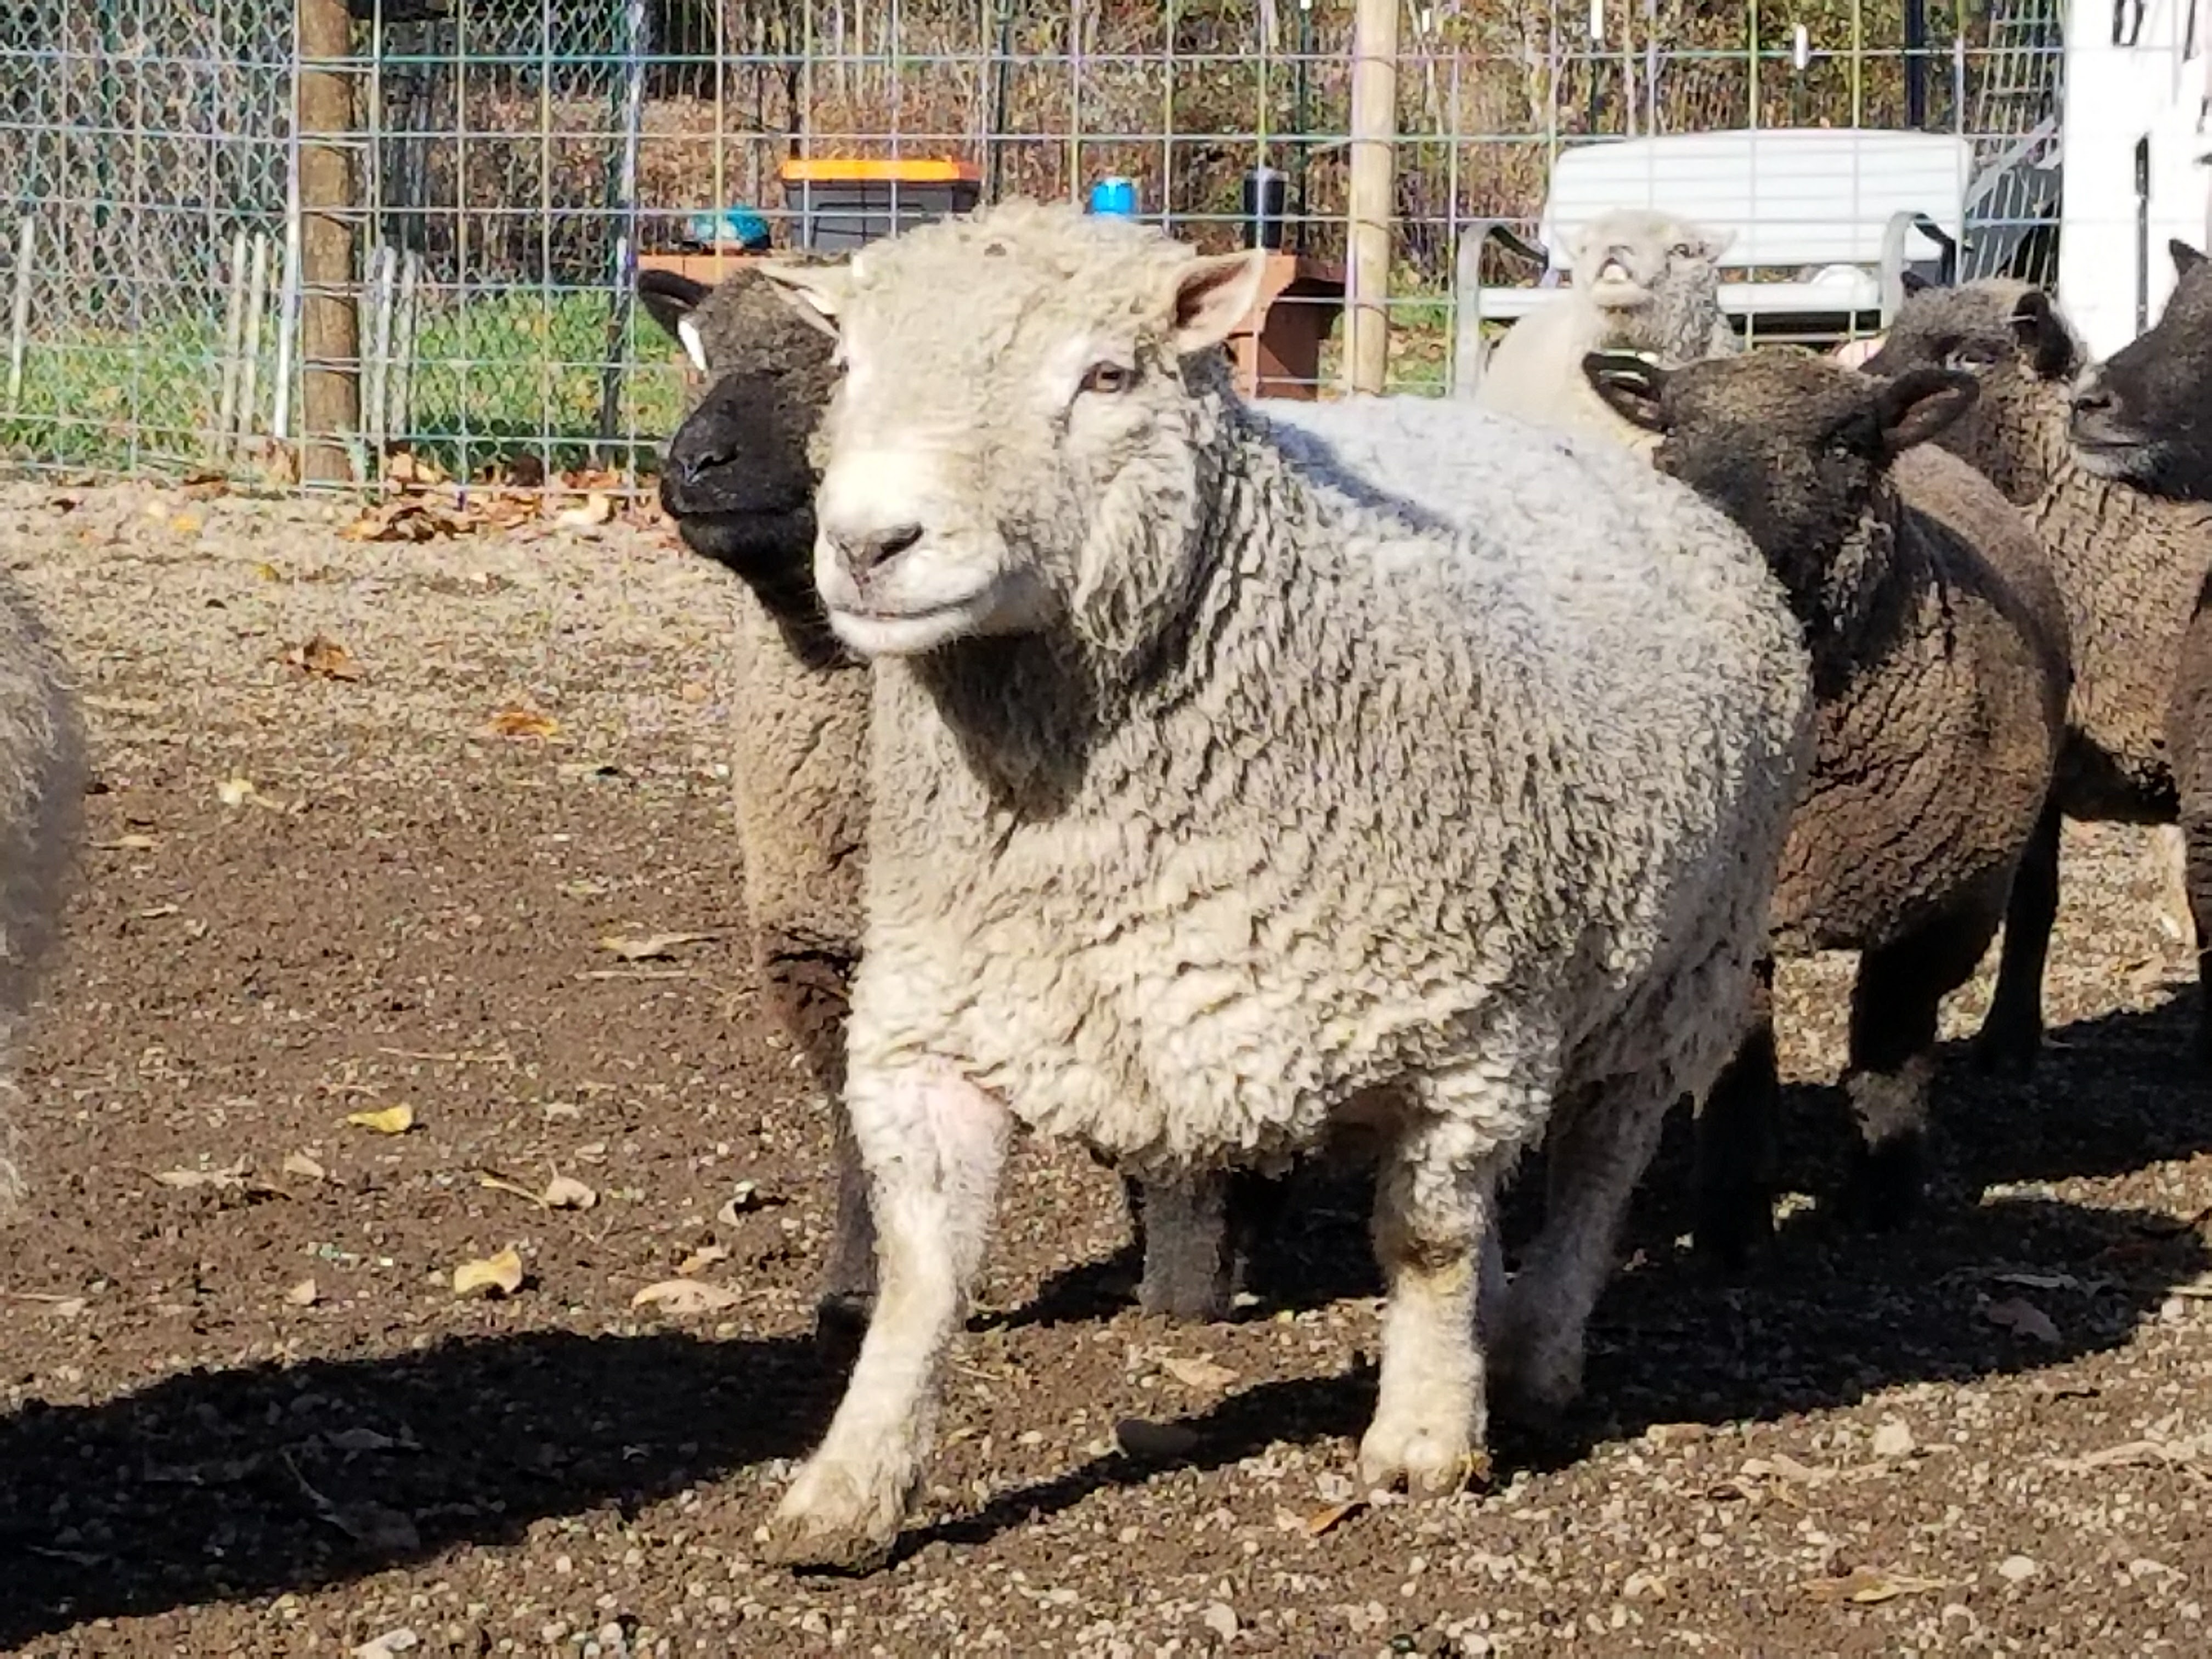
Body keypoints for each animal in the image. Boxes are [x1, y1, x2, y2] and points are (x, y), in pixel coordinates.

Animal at [752, 198, 1805, 1575]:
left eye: (1107, 376)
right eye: (851, 367)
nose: (872, 544)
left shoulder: (1464, 1031)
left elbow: (1425, 1241)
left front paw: (1424, 1441)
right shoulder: (939, 1023)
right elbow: (926, 1268)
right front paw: (849, 1486)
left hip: (1680, 975)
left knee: (1598, 1165)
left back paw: (1530, 1361)